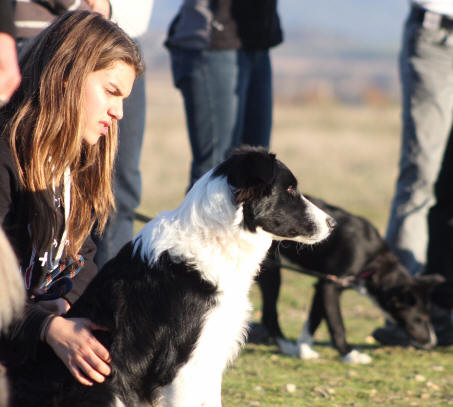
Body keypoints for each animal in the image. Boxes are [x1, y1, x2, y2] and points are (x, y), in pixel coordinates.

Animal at [9, 147, 336, 407]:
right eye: (290, 190)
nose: (332, 223)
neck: (214, 239)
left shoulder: (209, 356)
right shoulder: (180, 368)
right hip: (107, 389)